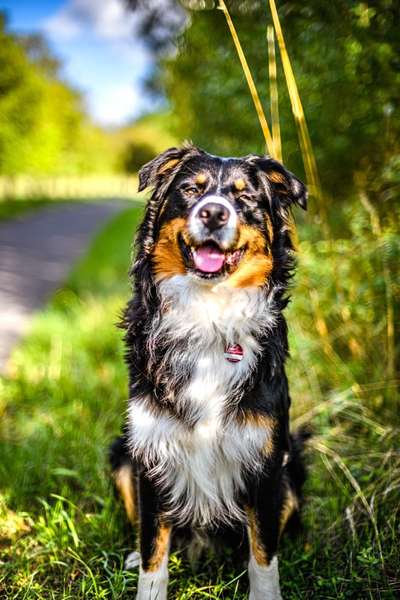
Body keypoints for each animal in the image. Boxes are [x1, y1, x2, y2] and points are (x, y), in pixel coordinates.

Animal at [109, 143, 310, 596]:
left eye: (245, 197)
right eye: (190, 190)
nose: (214, 213)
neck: (209, 313)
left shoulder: (266, 463)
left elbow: (263, 555)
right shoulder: (150, 454)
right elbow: (154, 550)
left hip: (292, 471)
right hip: (120, 456)